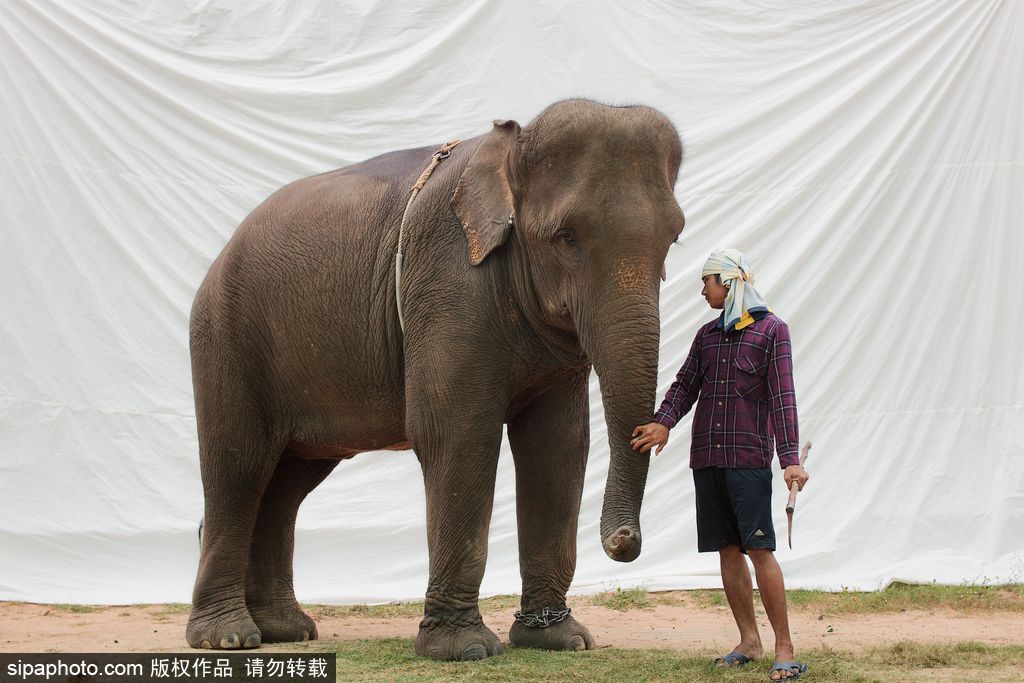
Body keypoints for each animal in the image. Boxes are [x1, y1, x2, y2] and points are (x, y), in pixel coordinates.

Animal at [187, 98, 684, 659]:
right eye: (567, 238)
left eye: (674, 238)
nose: (624, 543)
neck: (509, 151)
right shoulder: (448, 279)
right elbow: (456, 435)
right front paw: (465, 649)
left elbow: (557, 447)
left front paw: (561, 640)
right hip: (226, 337)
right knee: (239, 468)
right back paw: (228, 637)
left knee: (286, 484)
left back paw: (285, 631)